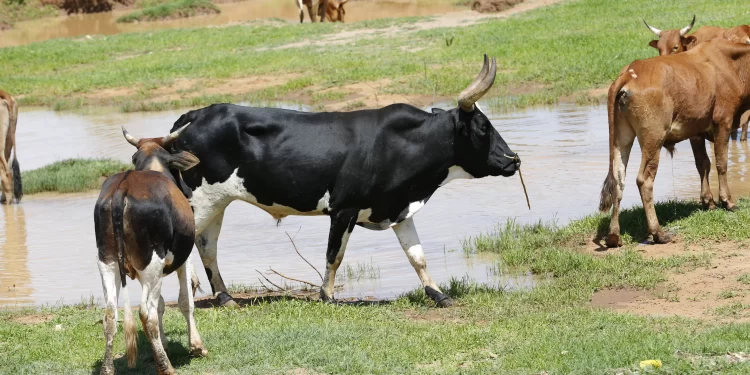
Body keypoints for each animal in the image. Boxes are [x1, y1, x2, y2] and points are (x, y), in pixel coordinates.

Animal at [94, 125, 206, 375]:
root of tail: (122, 188)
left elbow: (163, 304)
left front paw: (164, 344)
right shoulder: (181, 259)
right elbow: (185, 301)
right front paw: (196, 345)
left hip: (107, 262)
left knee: (110, 314)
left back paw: (108, 368)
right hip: (151, 263)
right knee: (147, 313)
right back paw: (165, 367)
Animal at [604, 39, 750, 248]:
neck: (732, 63)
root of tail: (631, 72)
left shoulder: (696, 131)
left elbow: (703, 164)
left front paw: (708, 202)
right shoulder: (724, 122)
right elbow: (721, 164)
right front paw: (727, 201)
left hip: (621, 138)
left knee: (619, 178)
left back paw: (614, 236)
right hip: (653, 139)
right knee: (644, 180)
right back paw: (658, 233)